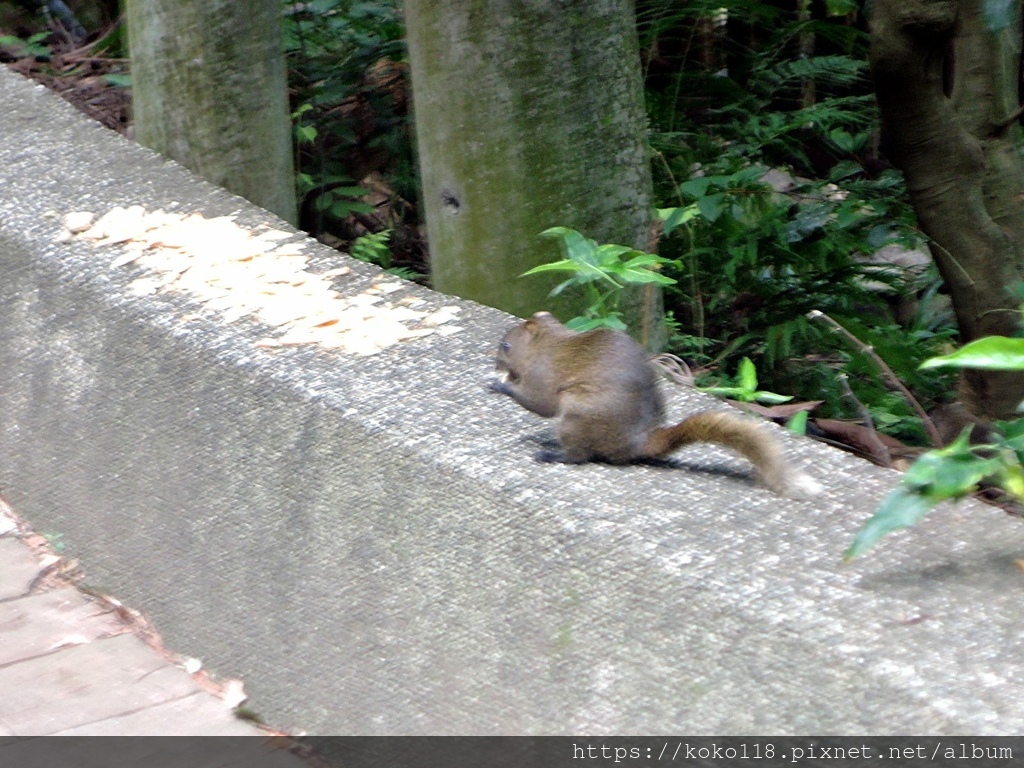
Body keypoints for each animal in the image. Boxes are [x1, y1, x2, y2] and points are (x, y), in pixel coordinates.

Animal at [491, 313, 819, 499]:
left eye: (506, 345)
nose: (495, 363)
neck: (549, 343)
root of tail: (637, 443)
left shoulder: (543, 375)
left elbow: (539, 402)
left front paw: (501, 384)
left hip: (578, 413)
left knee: (580, 455)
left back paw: (553, 453)